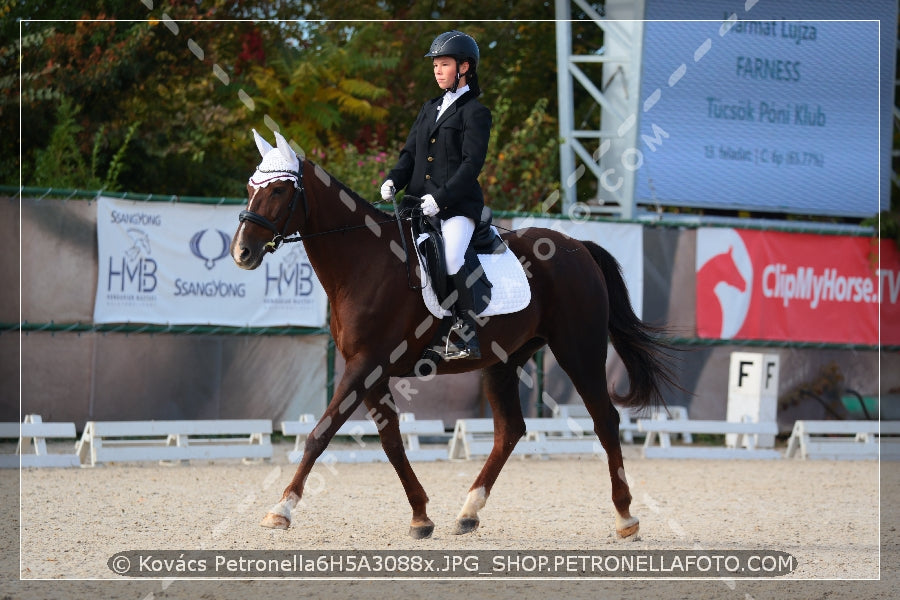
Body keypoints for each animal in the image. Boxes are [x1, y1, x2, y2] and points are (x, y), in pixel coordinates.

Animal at [232, 130, 676, 540]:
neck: (363, 264)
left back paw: (626, 517)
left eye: (278, 190)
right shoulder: (369, 370)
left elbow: (320, 433)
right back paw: (469, 511)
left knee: (605, 421)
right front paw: (420, 516)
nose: (242, 253)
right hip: (503, 361)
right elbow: (391, 441)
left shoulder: (365, 365)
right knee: (510, 430)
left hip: (578, 350)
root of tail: (578, 247)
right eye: (251, 187)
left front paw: (281, 509)